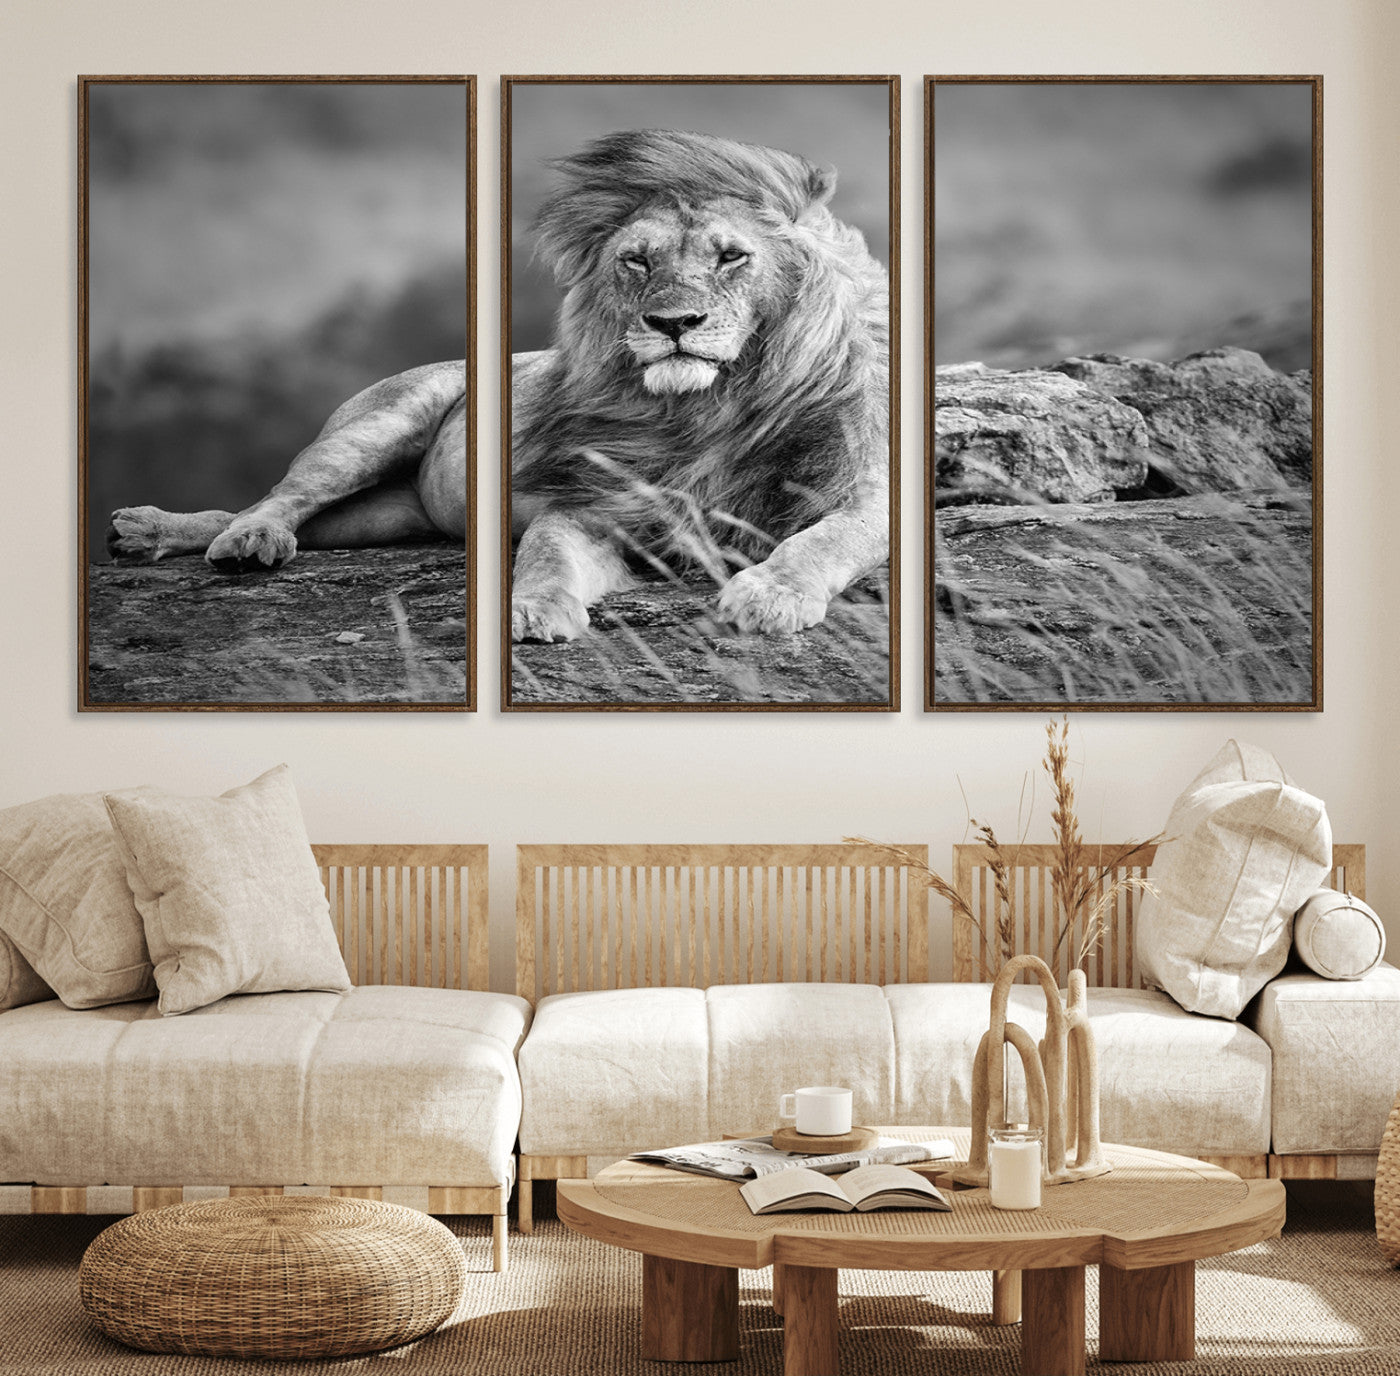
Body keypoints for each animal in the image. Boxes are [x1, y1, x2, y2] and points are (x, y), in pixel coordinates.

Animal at [510, 128, 890, 641]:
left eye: (730, 256)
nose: (673, 322)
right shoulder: (602, 496)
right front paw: (530, 607)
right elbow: (544, 546)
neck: (707, 408)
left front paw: (770, 595)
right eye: (637, 260)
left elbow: (825, 540)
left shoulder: (863, 484)